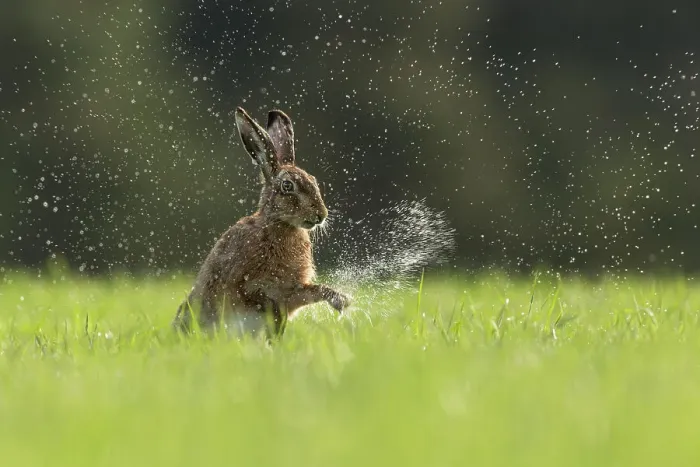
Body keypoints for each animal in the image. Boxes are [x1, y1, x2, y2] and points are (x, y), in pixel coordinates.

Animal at [172, 106, 351, 339]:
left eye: (313, 181)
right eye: (287, 186)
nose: (321, 214)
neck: (278, 224)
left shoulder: (293, 291)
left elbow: (314, 291)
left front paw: (342, 301)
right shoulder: (246, 285)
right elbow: (260, 300)